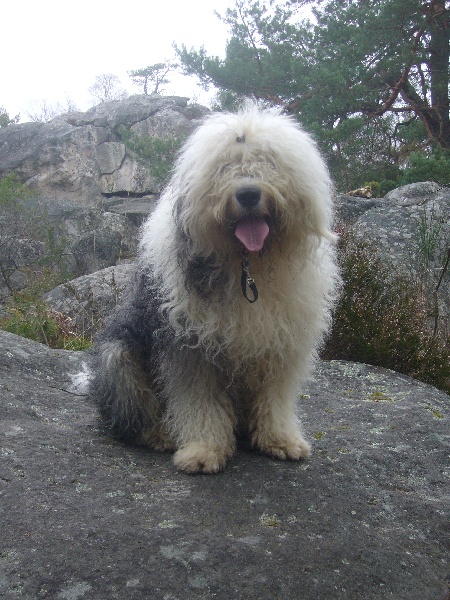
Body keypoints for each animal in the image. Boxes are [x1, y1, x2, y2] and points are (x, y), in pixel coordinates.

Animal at [89, 103, 340, 474]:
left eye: (269, 161)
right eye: (224, 167)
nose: (248, 194)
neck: (248, 265)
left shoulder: (281, 345)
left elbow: (275, 397)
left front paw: (280, 440)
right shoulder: (189, 347)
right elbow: (199, 402)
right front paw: (203, 450)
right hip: (119, 356)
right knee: (134, 413)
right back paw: (161, 435)